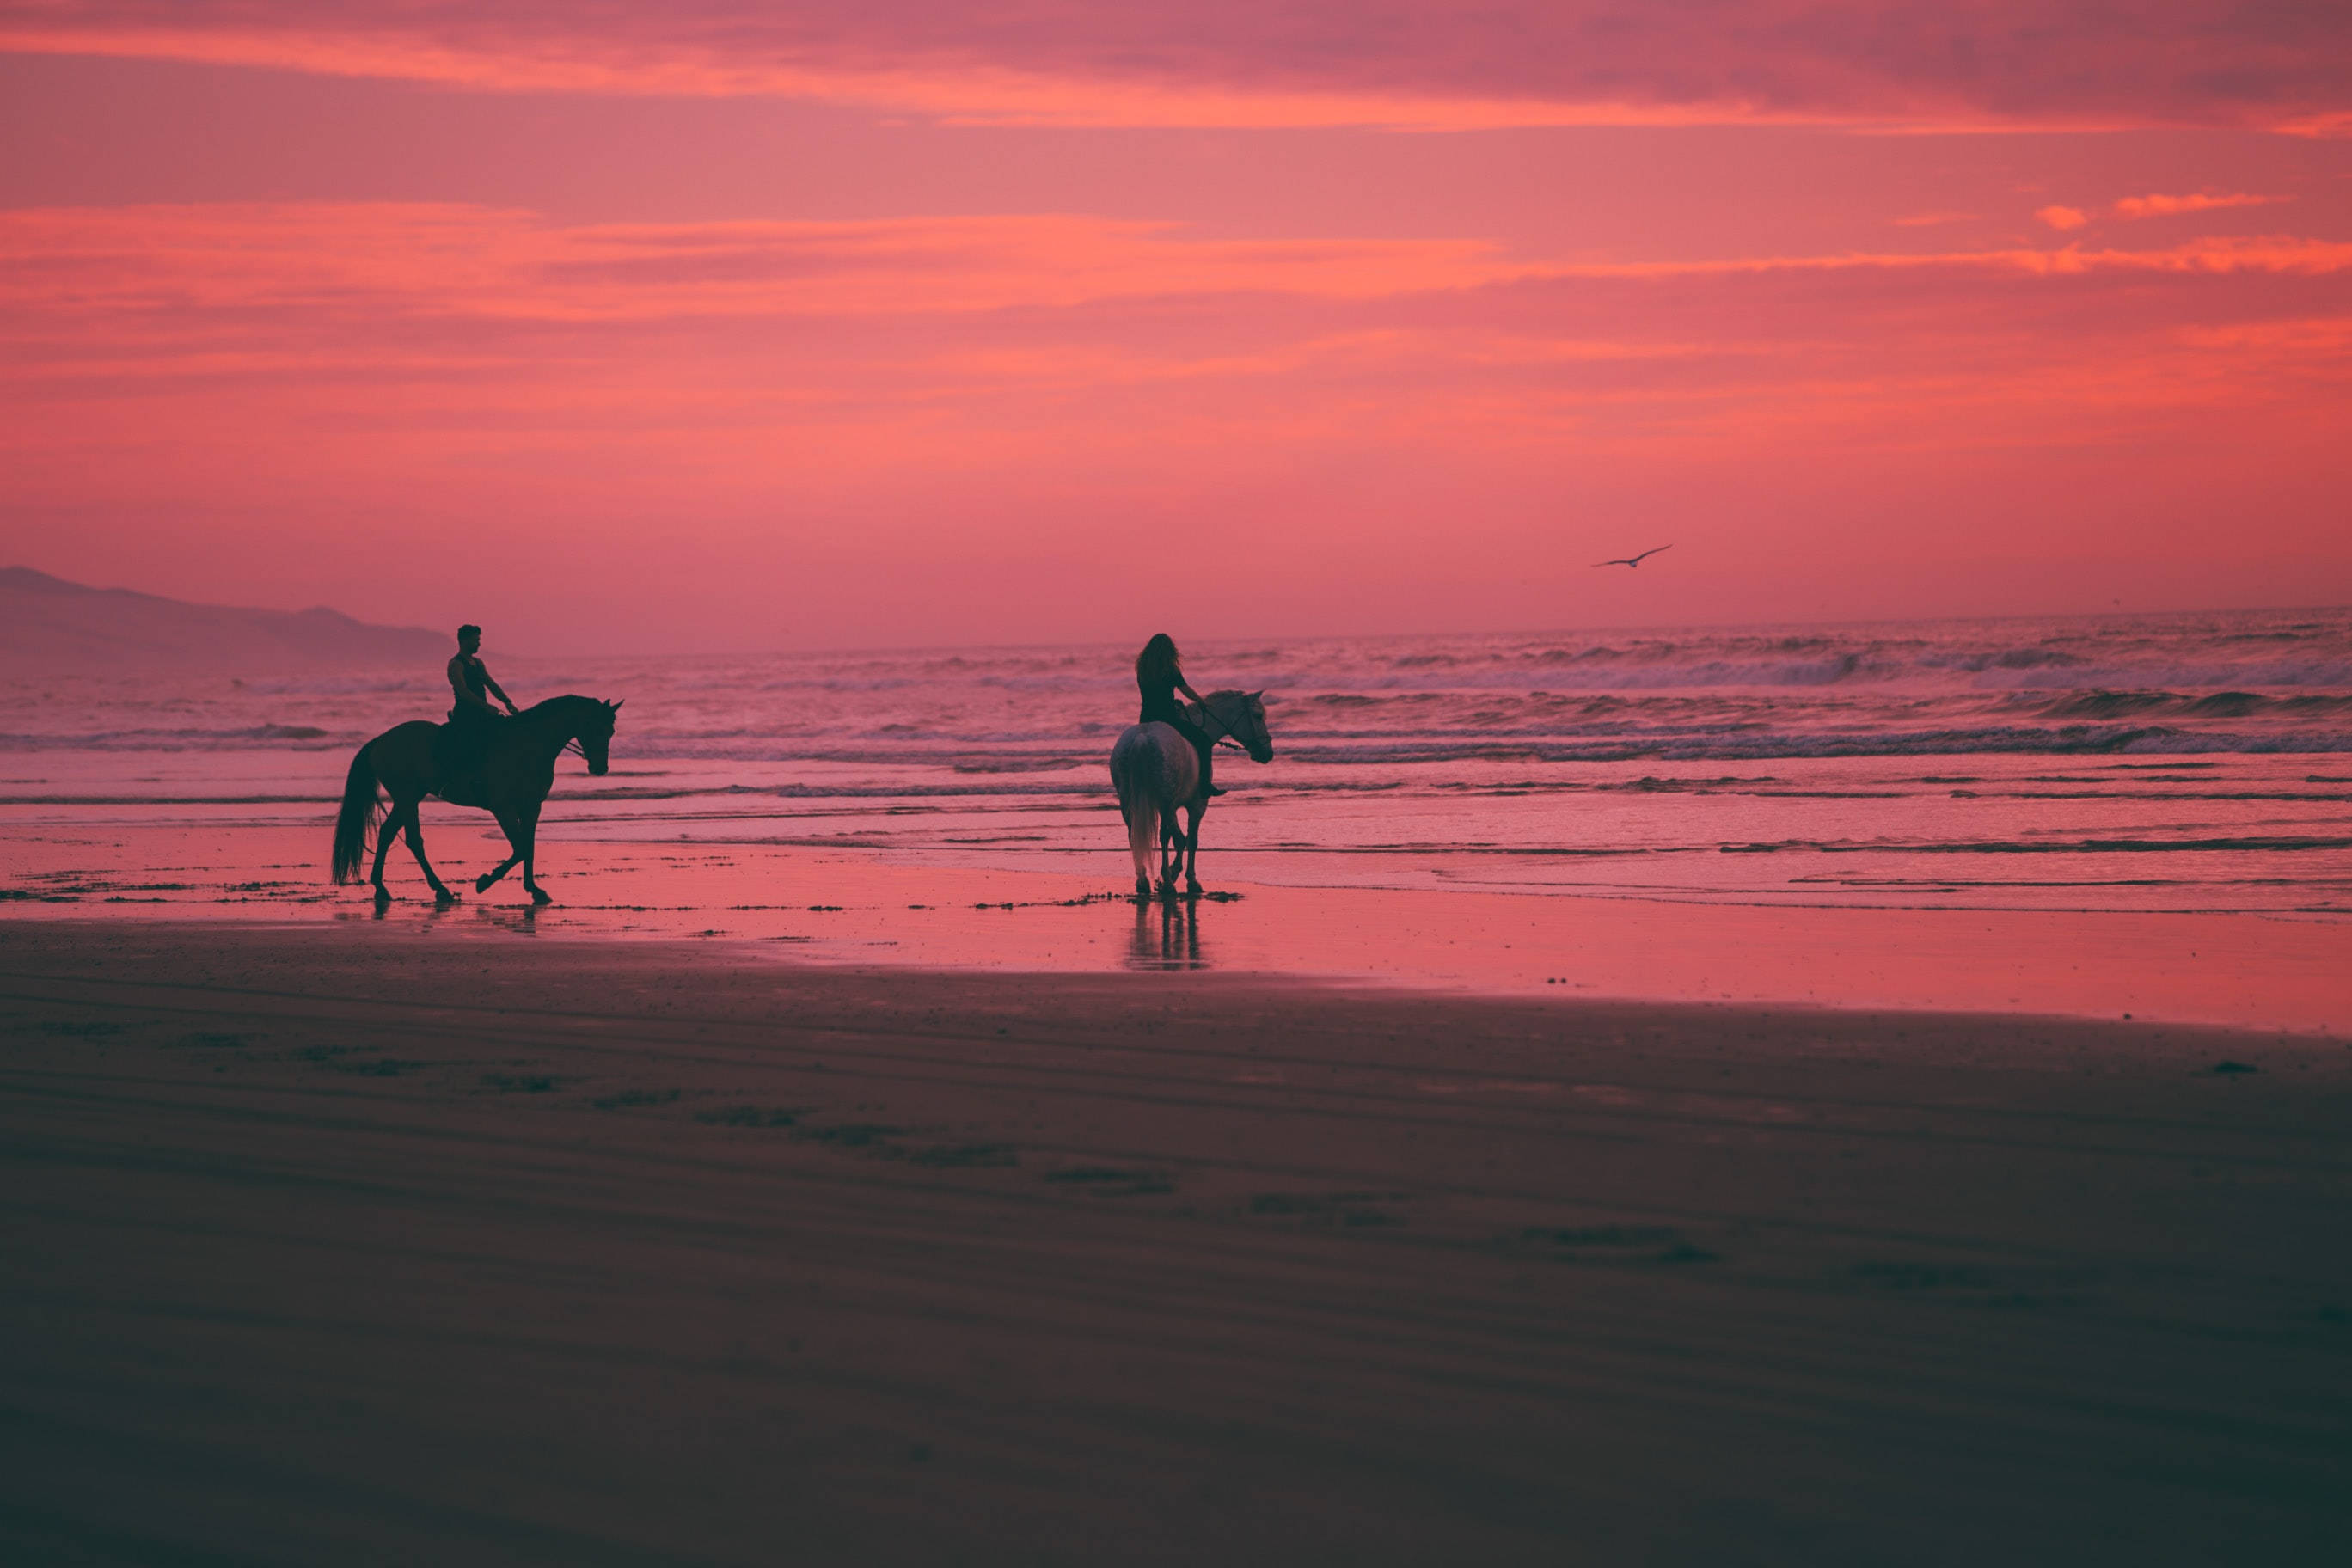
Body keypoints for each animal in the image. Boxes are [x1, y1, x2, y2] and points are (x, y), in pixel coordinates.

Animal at [336, 700, 625, 907]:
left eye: (611, 731)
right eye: (596, 728)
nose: (600, 768)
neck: (528, 747)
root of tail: (382, 739)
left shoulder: (531, 806)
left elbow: (528, 847)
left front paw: (534, 890)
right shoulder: (502, 807)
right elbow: (520, 848)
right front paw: (484, 882)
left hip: (409, 797)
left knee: (387, 833)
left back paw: (381, 887)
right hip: (407, 797)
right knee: (414, 840)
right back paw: (440, 889)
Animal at [1110, 690, 1279, 903]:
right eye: (1258, 716)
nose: (1267, 753)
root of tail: (1143, 737)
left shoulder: (1171, 807)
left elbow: (1179, 838)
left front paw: (1173, 872)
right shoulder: (1196, 805)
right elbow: (1191, 840)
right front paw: (1188, 879)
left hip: (1129, 801)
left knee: (1134, 835)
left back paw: (1143, 881)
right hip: (1165, 802)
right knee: (1166, 837)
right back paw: (1167, 883)